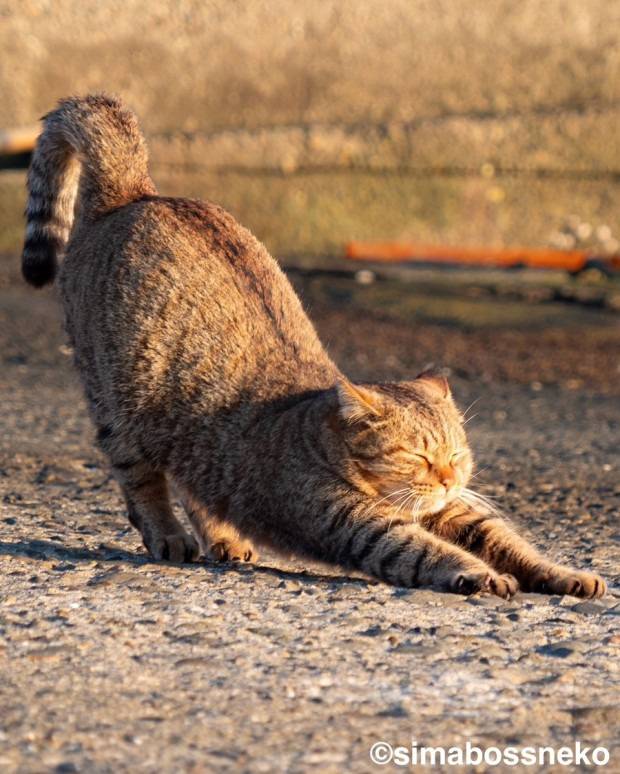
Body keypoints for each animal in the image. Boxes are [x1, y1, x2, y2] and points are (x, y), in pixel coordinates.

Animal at [19, 95, 604, 600]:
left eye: (456, 456)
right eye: (418, 456)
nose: (446, 479)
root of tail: (136, 192)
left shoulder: (457, 511)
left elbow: (509, 542)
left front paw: (563, 574)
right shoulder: (355, 522)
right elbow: (424, 551)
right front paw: (478, 574)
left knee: (195, 485)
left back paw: (224, 539)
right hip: (117, 409)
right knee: (143, 486)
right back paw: (170, 537)